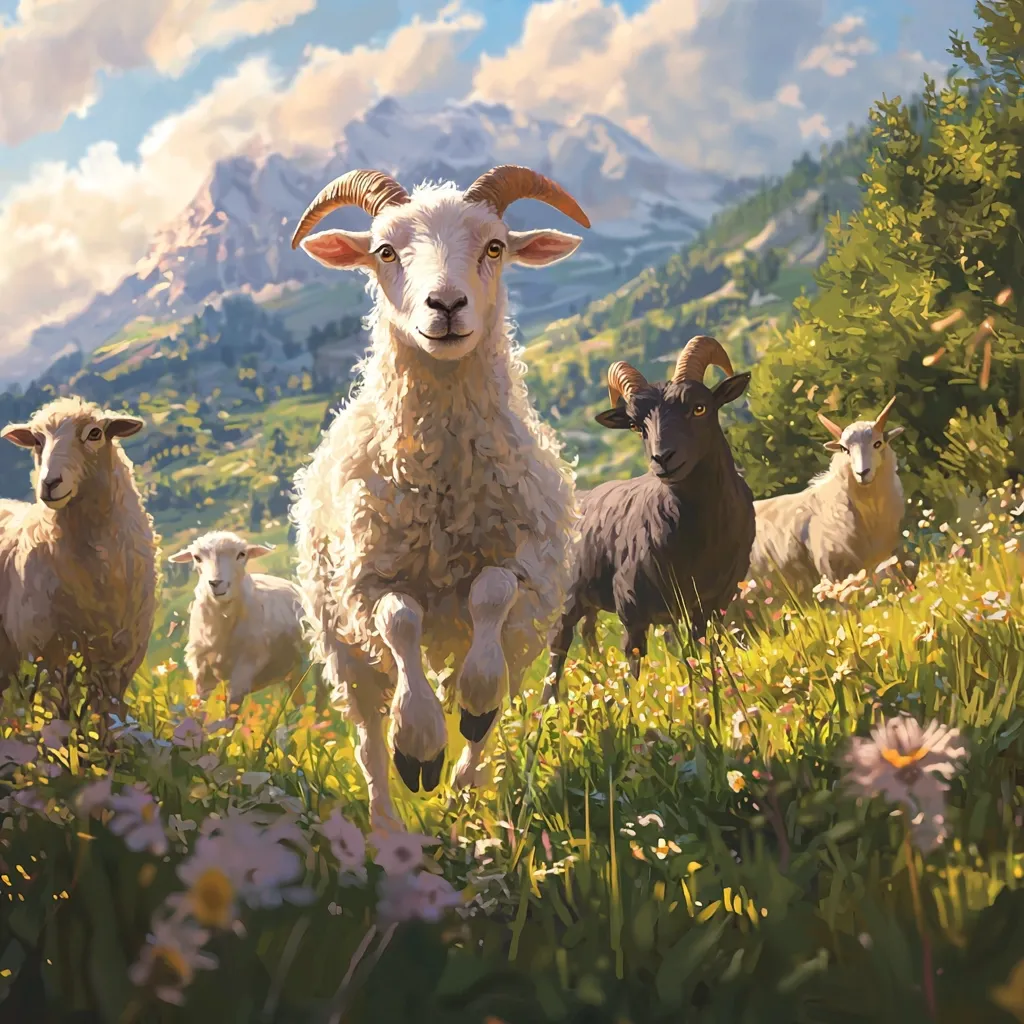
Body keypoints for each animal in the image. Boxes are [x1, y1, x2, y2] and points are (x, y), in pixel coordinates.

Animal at [0, 396, 159, 719]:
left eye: (94, 433)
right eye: (37, 440)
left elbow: (110, 719)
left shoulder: (120, 661)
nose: (49, 483)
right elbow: (61, 722)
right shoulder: (44, 658)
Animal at [167, 530, 318, 709]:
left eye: (241, 554)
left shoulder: (244, 670)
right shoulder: (202, 672)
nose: (216, 583)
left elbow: (231, 711)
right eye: (197, 557)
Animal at [287, 165, 589, 829]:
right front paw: (419, 741)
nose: (445, 305)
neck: (446, 487)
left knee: (486, 726)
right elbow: (398, 619)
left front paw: (472, 700)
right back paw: (385, 824)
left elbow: (493, 594)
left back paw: (467, 792)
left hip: (517, 644)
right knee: (368, 740)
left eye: (495, 247)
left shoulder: (529, 569)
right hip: (340, 645)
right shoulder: (362, 584)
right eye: (384, 251)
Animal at [544, 336, 756, 700]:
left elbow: (702, 651)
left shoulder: (713, 602)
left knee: (588, 634)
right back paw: (548, 707)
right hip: (567, 600)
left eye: (699, 407)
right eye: (634, 425)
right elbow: (634, 666)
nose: (663, 458)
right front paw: (633, 706)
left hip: (592, 602)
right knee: (558, 651)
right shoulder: (631, 607)